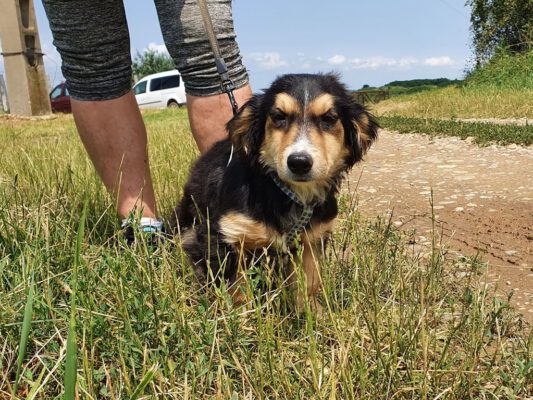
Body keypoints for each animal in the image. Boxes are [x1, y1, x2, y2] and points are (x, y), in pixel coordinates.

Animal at [168, 74, 376, 312]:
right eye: (278, 116)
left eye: (329, 118)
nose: (299, 162)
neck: (286, 192)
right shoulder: (226, 233)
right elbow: (237, 286)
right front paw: (240, 316)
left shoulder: (312, 239)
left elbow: (309, 281)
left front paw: (313, 313)